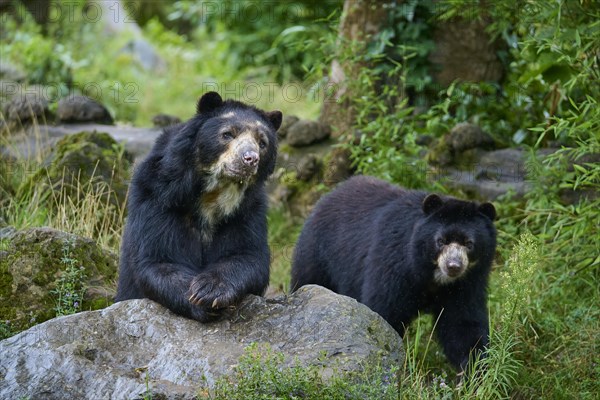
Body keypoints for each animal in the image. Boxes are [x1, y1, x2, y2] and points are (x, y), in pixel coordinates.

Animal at [116, 91, 282, 322]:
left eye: (262, 142)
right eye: (227, 134)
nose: (250, 159)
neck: (213, 194)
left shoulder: (247, 211)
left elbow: (247, 254)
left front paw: (210, 290)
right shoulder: (158, 198)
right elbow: (160, 258)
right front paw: (198, 298)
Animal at [292, 177, 496, 370]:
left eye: (469, 243)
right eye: (441, 241)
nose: (453, 266)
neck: (432, 277)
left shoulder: (466, 284)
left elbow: (463, 325)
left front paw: (475, 370)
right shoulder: (394, 265)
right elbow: (385, 311)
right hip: (318, 256)